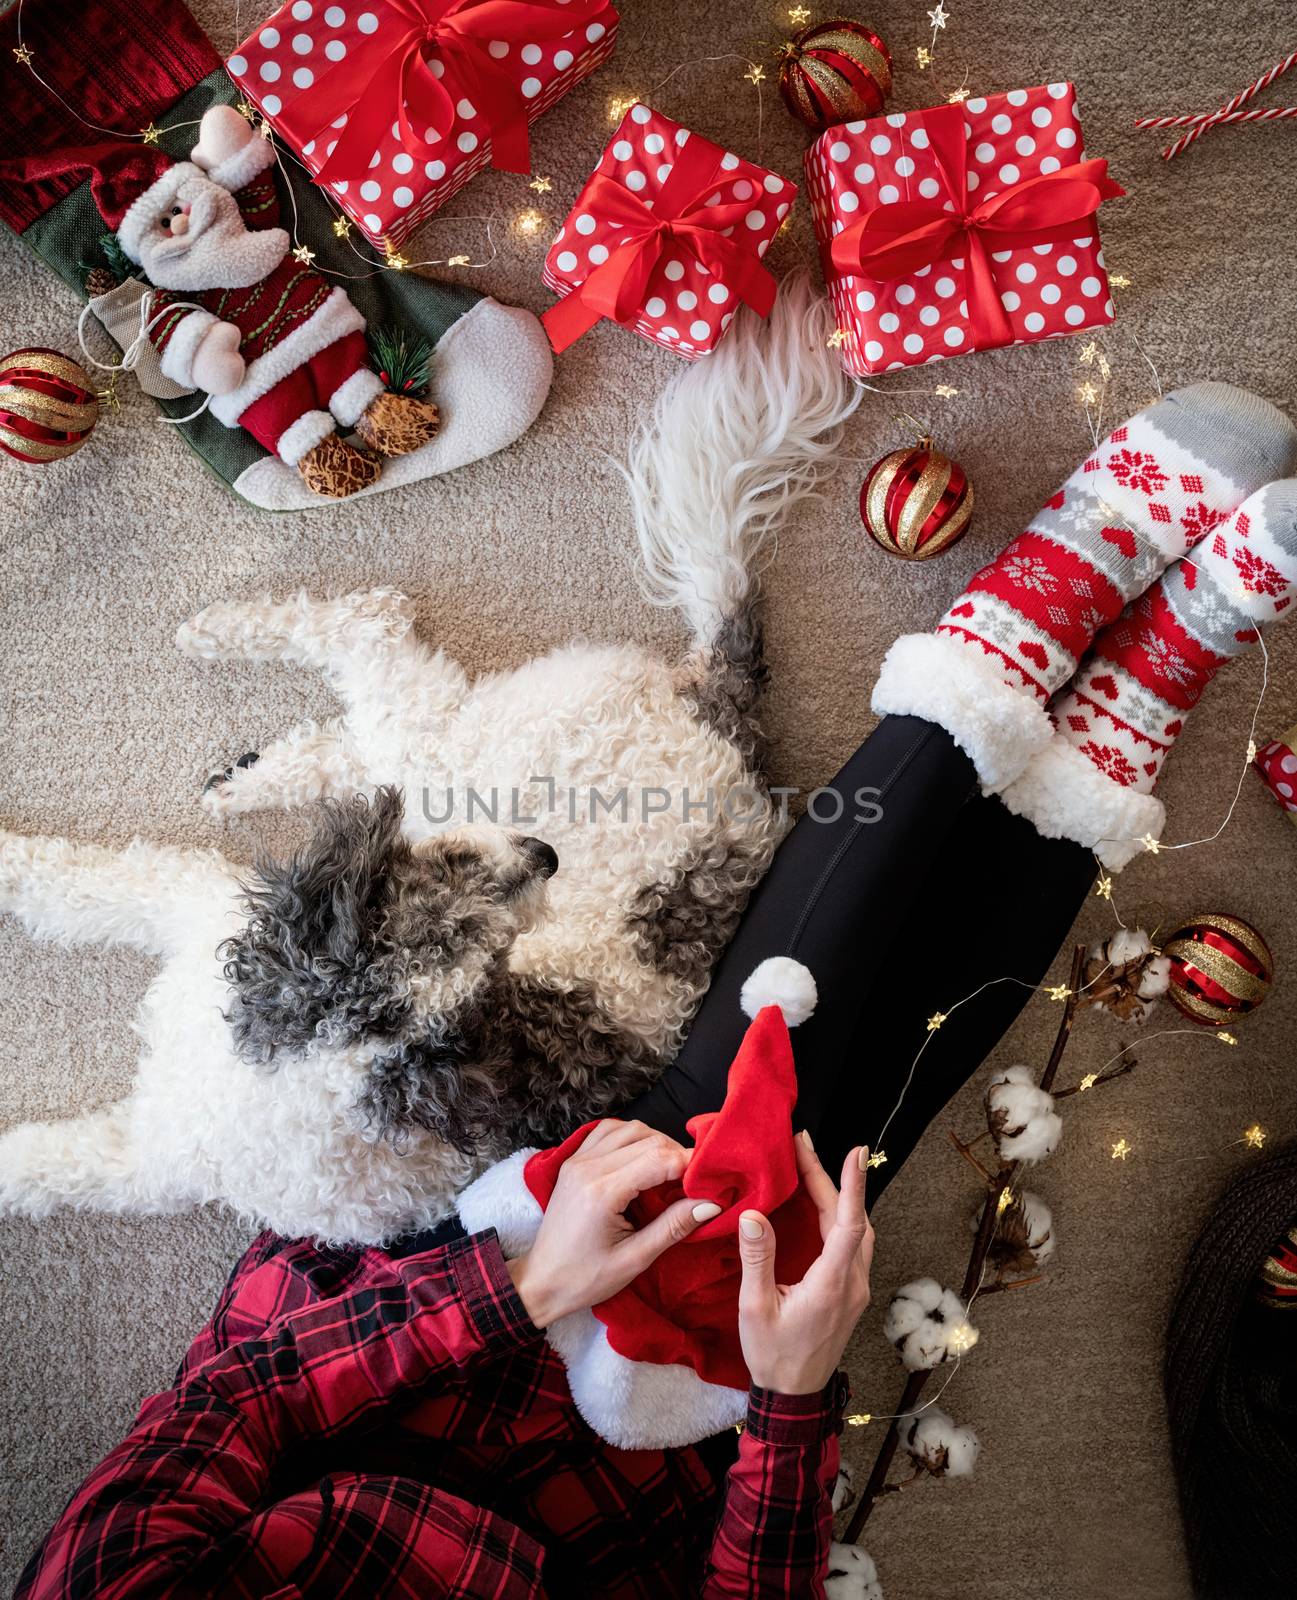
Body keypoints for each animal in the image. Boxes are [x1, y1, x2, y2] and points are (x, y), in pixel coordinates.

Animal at [0, 281, 863, 1241]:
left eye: (492, 960)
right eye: (448, 882)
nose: (543, 856)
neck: (302, 1057)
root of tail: (724, 715)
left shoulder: (147, 1152)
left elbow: (37, 1164)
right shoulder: (195, 912)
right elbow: (76, 878)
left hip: (466, 746)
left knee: (372, 637)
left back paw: (229, 678)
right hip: (457, 760)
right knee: (365, 686)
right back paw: (241, 760)